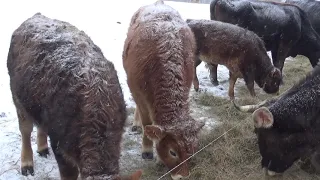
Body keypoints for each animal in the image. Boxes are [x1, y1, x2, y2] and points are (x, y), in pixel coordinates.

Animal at [7, 13, 141, 180]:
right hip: (17, 98)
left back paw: (43, 148)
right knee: (25, 130)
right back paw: (27, 164)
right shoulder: (60, 146)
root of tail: (36, 16)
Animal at [122, 0, 205, 179]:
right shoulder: (138, 92)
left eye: (193, 150)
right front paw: (147, 150)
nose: (183, 176)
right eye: (173, 152)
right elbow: (147, 122)